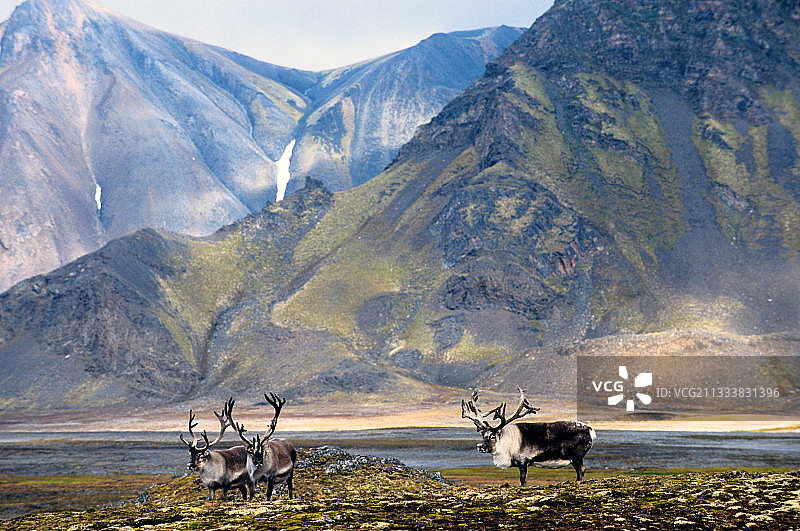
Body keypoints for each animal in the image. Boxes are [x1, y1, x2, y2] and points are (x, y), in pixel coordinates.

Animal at [462, 387, 596, 485]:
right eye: (483, 435)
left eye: (493, 436)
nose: (480, 446)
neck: (506, 444)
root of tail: (590, 430)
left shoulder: (523, 461)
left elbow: (523, 480)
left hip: (577, 456)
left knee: (582, 469)